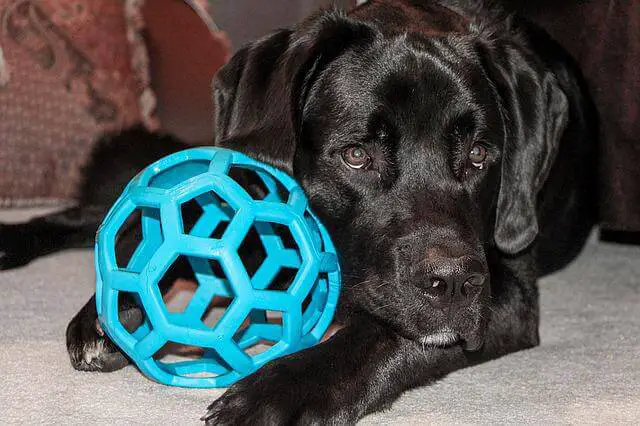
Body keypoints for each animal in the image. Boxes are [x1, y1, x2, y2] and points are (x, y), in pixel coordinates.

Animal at [2, 0, 596, 422]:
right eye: (356, 155)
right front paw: (117, 308)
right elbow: (185, 221)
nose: (453, 283)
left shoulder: (507, 293)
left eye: (478, 156)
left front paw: (279, 391)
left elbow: (383, 334)